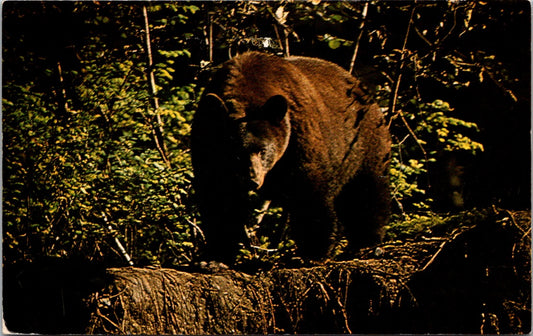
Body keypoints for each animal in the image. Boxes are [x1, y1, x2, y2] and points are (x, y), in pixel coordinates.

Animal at [191, 51, 390, 264]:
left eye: (263, 151)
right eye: (234, 153)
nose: (253, 180)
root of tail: (364, 90)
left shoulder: (298, 137)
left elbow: (308, 192)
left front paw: (315, 249)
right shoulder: (207, 145)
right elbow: (219, 197)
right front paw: (215, 255)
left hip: (364, 146)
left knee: (366, 193)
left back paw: (365, 244)